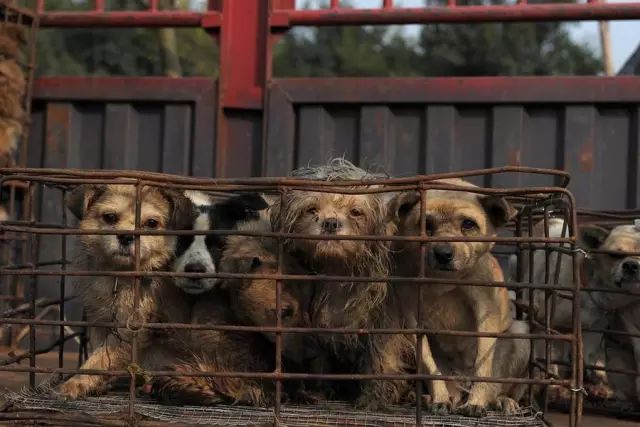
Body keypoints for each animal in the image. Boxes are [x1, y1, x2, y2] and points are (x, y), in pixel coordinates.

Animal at [56, 185, 196, 402]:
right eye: (110, 217)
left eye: (151, 223)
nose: (126, 237)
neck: (120, 275)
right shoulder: (100, 321)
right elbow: (99, 350)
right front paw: (97, 383)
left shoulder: (131, 328)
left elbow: (101, 358)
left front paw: (77, 383)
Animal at [268, 160, 416, 412]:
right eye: (311, 209)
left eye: (356, 212)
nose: (330, 223)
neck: (339, 272)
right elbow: (319, 361)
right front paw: (319, 391)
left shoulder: (387, 323)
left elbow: (381, 359)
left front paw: (374, 399)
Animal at [384, 180, 528, 418]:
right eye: (426, 224)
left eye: (468, 224)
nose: (443, 253)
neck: (443, 280)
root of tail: (462, 383)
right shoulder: (413, 319)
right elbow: (429, 364)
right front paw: (439, 398)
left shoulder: (485, 311)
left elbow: (483, 365)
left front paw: (477, 402)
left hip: (520, 335)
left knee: (498, 388)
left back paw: (501, 400)